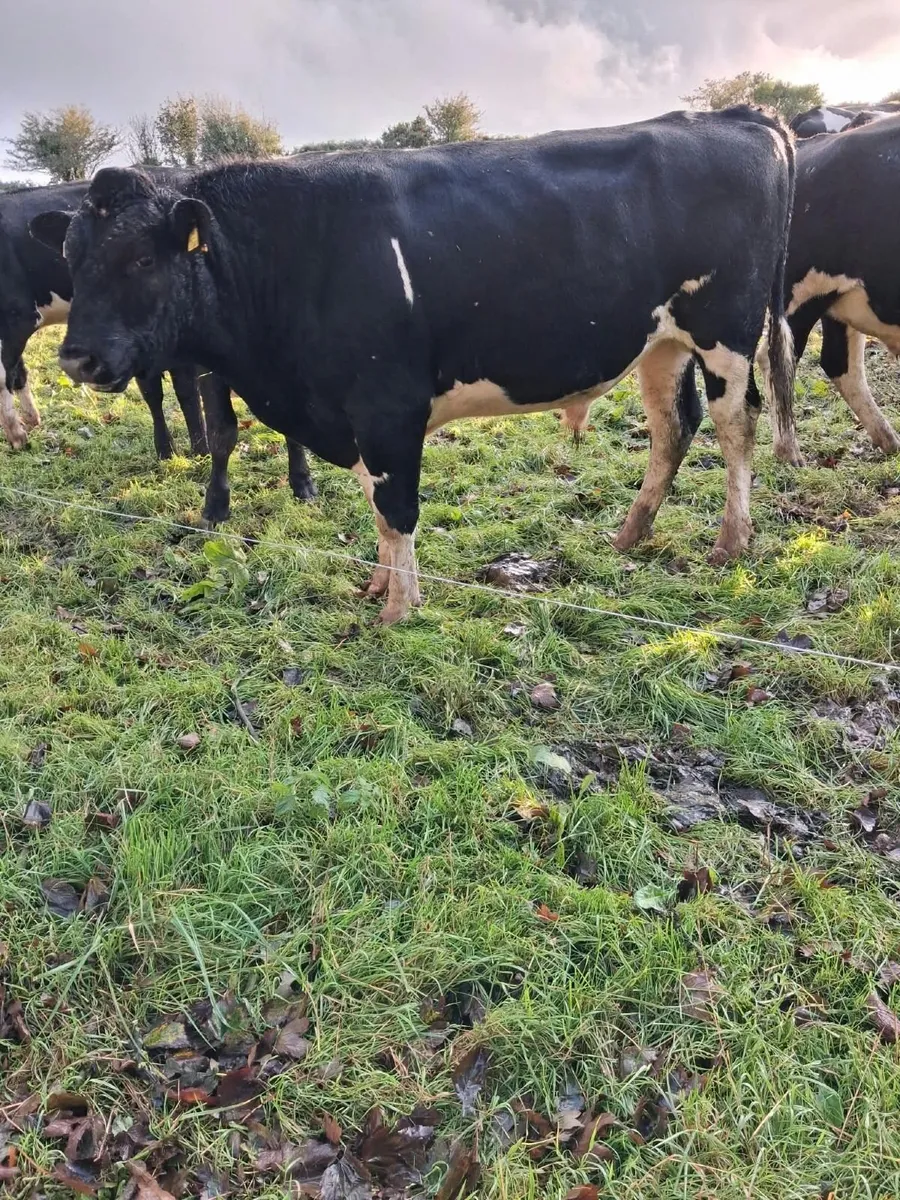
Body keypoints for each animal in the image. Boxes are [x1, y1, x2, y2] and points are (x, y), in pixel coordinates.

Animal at [770, 114, 900, 461]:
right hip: (800, 293)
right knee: (779, 359)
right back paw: (789, 451)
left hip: (840, 298)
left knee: (839, 364)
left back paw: (889, 440)